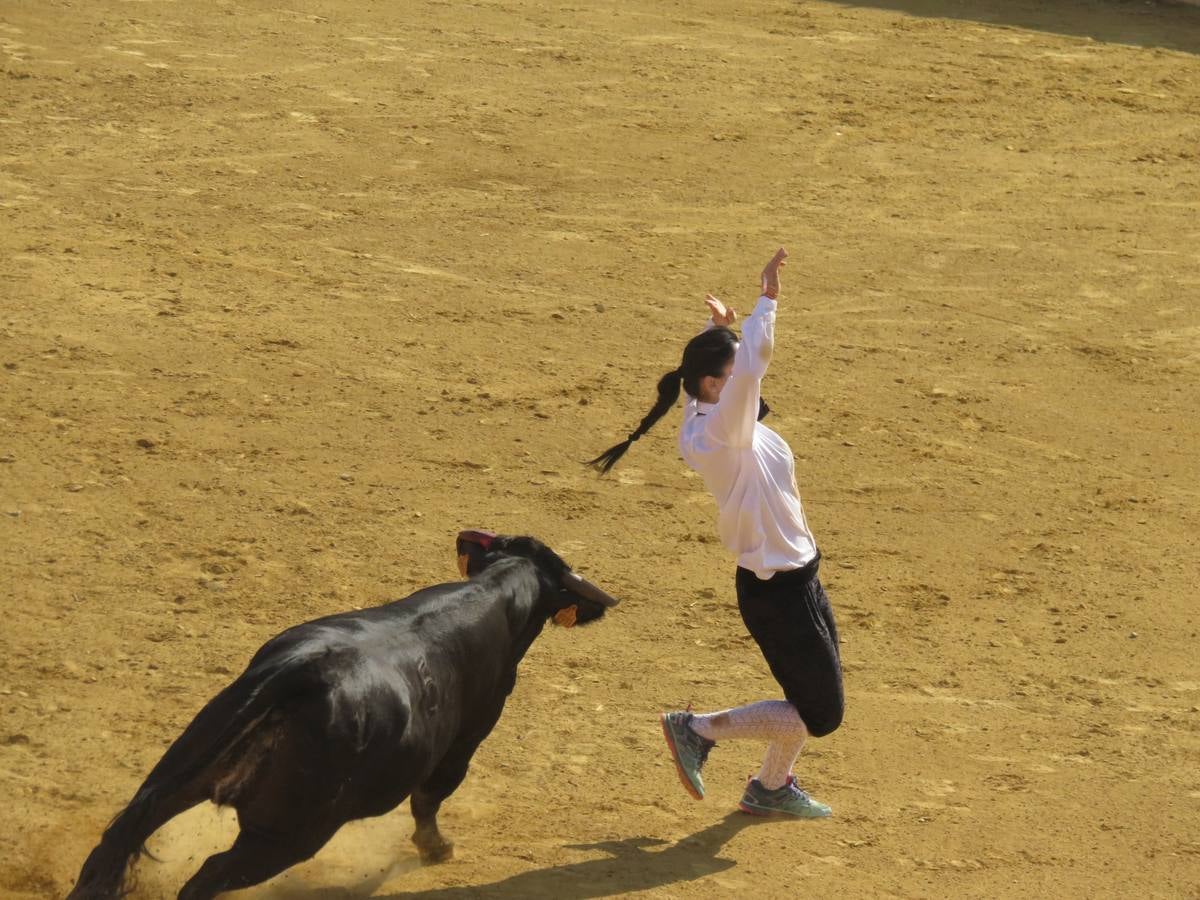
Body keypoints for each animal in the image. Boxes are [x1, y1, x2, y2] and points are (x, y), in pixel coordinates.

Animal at [68, 535, 619, 900]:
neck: (497, 593)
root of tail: (301, 676)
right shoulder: (467, 739)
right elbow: (430, 798)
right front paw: (437, 849)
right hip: (285, 837)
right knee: (204, 880)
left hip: (168, 782)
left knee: (110, 849)